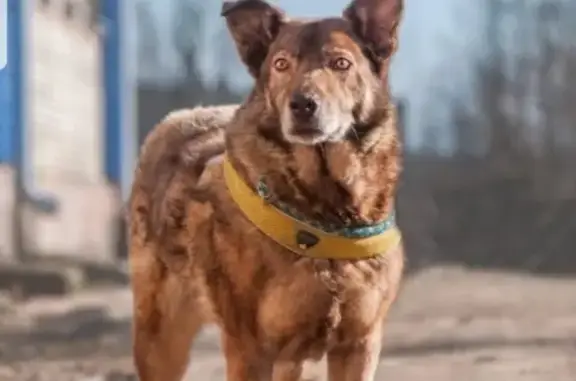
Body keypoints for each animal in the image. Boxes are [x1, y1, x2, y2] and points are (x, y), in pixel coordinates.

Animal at [128, 0, 402, 380]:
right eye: (281, 64)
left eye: (341, 63)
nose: (302, 104)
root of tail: (178, 118)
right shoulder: (251, 349)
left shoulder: (359, 345)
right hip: (161, 339)